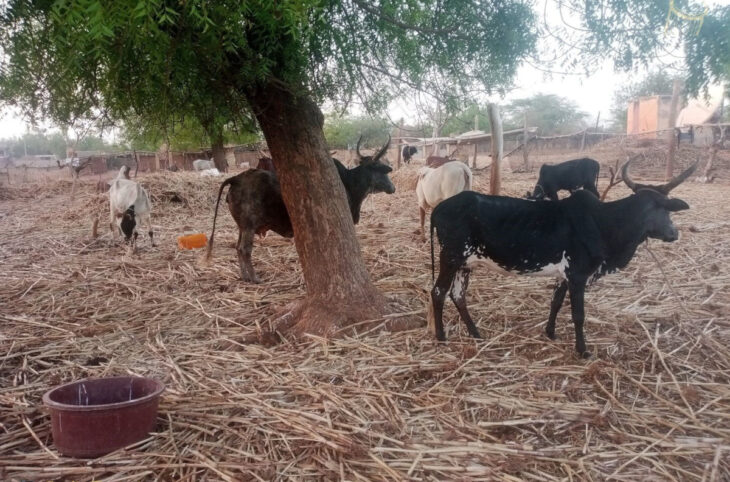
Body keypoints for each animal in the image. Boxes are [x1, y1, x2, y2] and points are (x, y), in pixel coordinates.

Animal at [205, 136, 396, 282]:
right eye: (382, 170)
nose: (393, 188)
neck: (350, 182)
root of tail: (236, 179)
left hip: (242, 227)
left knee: (237, 248)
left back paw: (244, 276)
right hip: (249, 226)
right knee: (244, 250)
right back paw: (254, 278)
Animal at [426, 161, 692, 358]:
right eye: (663, 209)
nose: (674, 233)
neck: (604, 222)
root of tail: (439, 208)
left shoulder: (565, 275)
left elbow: (555, 302)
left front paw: (550, 332)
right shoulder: (578, 275)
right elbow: (578, 314)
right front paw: (583, 350)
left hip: (465, 263)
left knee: (458, 295)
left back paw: (475, 333)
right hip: (451, 257)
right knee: (438, 292)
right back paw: (441, 337)